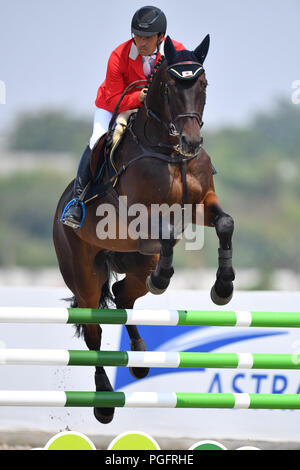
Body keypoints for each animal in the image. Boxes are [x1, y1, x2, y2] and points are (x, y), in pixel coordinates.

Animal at [52, 35, 236, 424]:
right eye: (170, 88)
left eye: (203, 84)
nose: (191, 142)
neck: (169, 150)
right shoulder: (137, 213)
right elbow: (166, 234)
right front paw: (168, 277)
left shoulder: (201, 203)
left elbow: (225, 223)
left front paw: (223, 289)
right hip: (83, 272)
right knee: (93, 329)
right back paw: (104, 400)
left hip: (136, 265)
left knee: (123, 296)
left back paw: (138, 355)